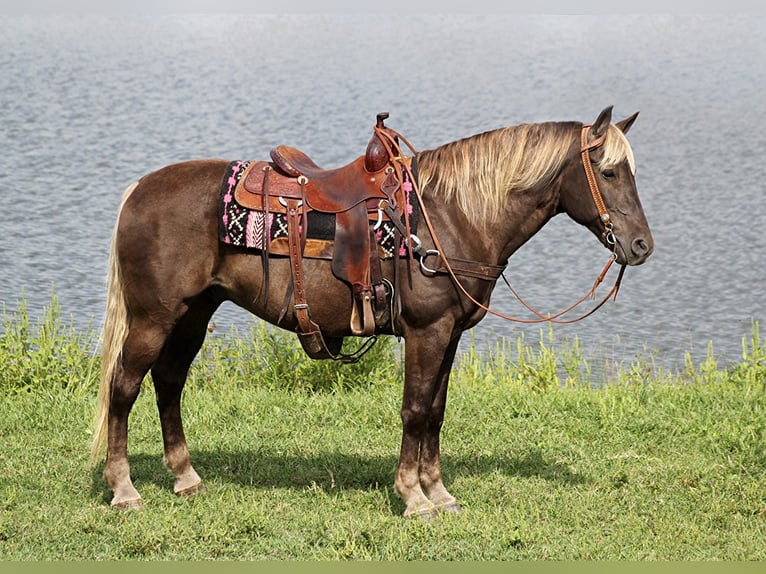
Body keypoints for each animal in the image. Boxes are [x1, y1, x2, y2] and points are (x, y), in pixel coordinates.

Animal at [90, 106, 656, 520]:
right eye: (608, 172)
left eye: (631, 172)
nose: (641, 245)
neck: (452, 215)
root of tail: (139, 188)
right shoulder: (427, 332)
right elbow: (414, 410)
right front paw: (413, 498)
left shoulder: (450, 334)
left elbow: (436, 412)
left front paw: (439, 493)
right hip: (154, 318)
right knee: (125, 387)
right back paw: (124, 488)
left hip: (192, 315)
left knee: (169, 382)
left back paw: (185, 477)